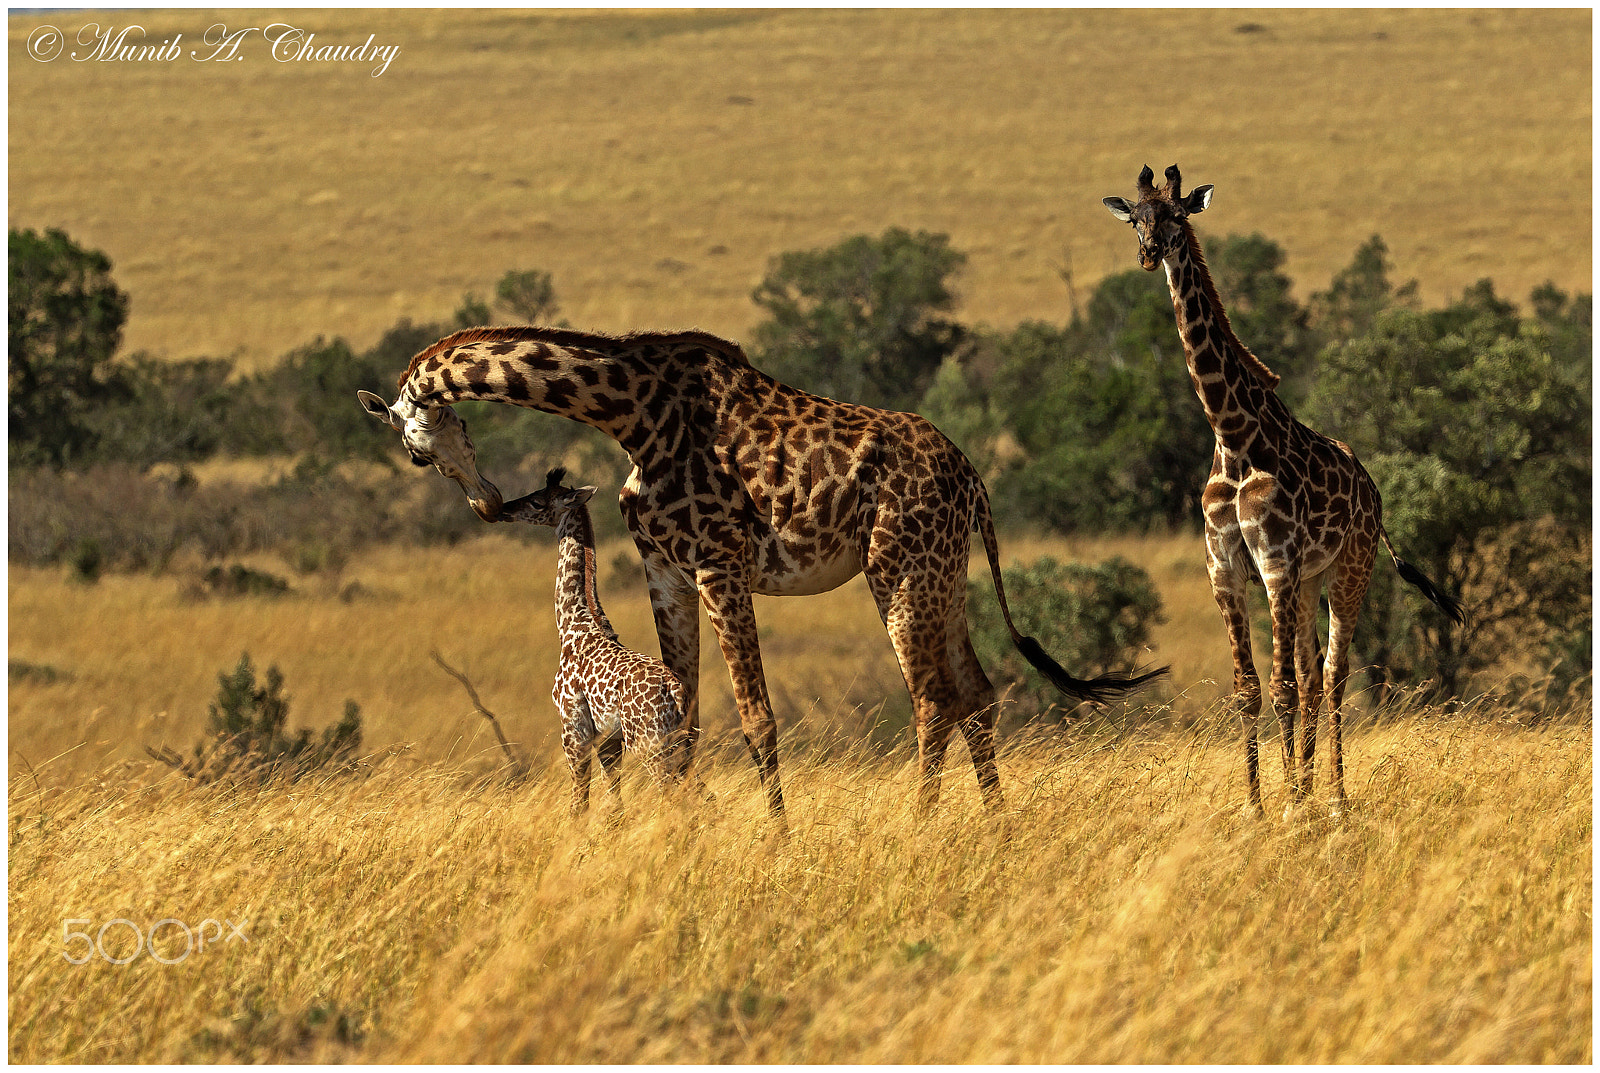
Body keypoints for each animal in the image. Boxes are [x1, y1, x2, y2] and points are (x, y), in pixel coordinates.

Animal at [502, 466, 691, 815]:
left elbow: (579, 802)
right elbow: (614, 805)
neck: (571, 624)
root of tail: (676, 690)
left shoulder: (573, 727)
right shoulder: (608, 739)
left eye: (537, 502)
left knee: (672, 795)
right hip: (678, 738)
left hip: (649, 741)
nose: (505, 509)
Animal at [1100, 161, 1465, 815]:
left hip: (1348, 570)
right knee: (1314, 670)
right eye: (1137, 219)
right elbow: (1249, 690)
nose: (1148, 254)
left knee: (1333, 675)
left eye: (1178, 217)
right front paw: (1258, 804)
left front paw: (1292, 804)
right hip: (1310, 578)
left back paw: (1335, 796)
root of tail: (1375, 495)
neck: (1232, 433)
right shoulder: (1226, 567)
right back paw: (1311, 786)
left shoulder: (1274, 563)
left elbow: (1282, 688)